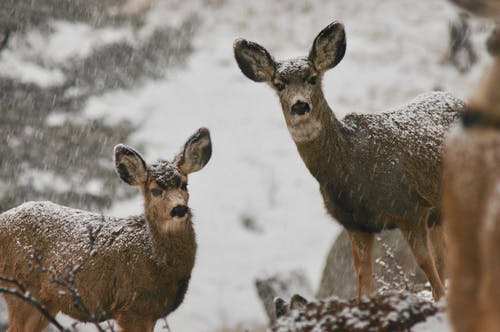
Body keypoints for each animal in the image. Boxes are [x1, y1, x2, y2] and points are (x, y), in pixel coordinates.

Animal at [0, 127, 213, 332]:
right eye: (155, 190)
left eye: (184, 185)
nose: (179, 209)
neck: (154, 259)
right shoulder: (131, 308)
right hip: (21, 289)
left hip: (45, 302)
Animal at [234, 20, 464, 300]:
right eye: (279, 84)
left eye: (313, 78)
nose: (300, 106)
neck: (353, 167)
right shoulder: (355, 223)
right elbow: (362, 277)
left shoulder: (410, 208)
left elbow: (424, 263)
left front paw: (439, 299)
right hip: (440, 212)